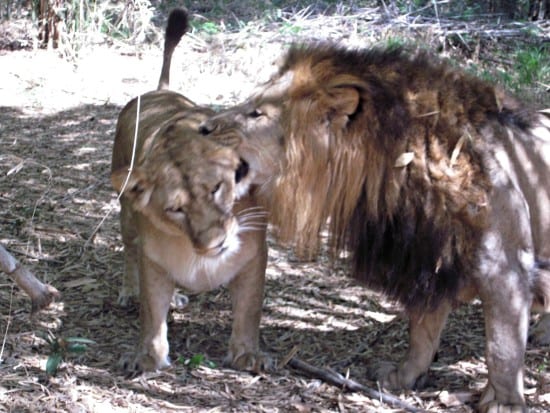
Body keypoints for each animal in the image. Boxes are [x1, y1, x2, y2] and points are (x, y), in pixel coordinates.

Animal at [110, 8, 270, 372]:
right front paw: (147, 358)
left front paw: (247, 355)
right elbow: (151, 312)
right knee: (128, 252)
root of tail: (158, 91)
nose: (217, 243)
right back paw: (129, 291)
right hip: (126, 213)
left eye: (216, 189)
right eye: (176, 209)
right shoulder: (152, 259)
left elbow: (249, 310)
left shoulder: (254, 256)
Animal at [202, 43, 550, 410]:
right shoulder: (426, 257)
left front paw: (504, 402)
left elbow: (501, 347)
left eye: (257, 114)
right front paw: (403, 377)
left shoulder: (505, 269)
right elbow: (423, 331)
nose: (203, 128)